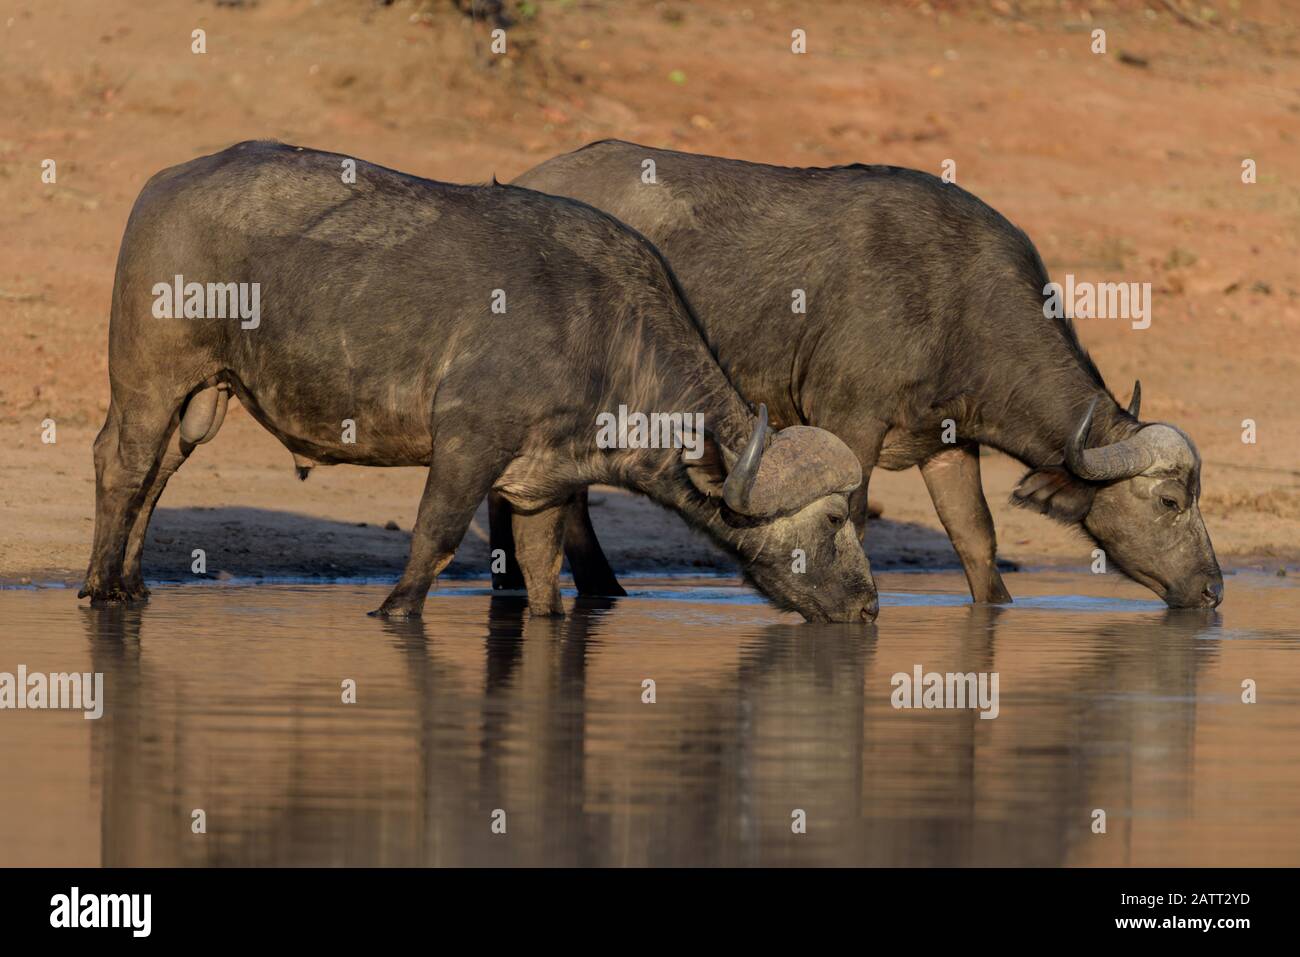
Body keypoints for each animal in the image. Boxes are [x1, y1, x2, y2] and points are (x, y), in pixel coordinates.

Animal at [76, 140, 878, 621]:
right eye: (834, 520)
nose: (871, 605)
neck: (605, 332)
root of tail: (164, 184)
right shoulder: (466, 445)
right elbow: (431, 543)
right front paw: (393, 610)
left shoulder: (543, 486)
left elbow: (542, 576)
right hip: (148, 379)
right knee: (121, 464)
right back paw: (97, 586)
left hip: (203, 398)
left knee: (158, 472)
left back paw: (131, 584)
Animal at [501, 138, 1222, 608]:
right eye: (1169, 501)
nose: (1215, 588)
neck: (958, 300)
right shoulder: (850, 421)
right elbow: (853, 518)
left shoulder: (946, 443)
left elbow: (977, 538)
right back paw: (595, 587)